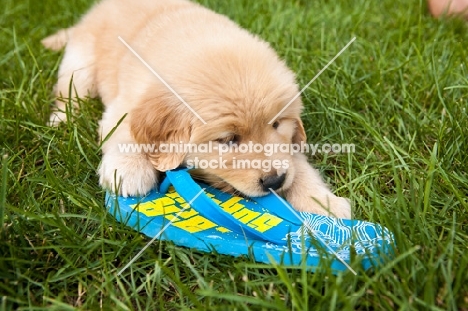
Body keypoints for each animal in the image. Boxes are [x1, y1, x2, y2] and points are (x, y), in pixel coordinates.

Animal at [43, 0, 352, 218]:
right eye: (227, 140)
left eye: (277, 124)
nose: (275, 181)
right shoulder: (123, 106)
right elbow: (125, 133)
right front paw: (129, 169)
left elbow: (296, 163)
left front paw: (323, 202)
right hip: (81, 62)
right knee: (71, 91)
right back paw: (61, 120)